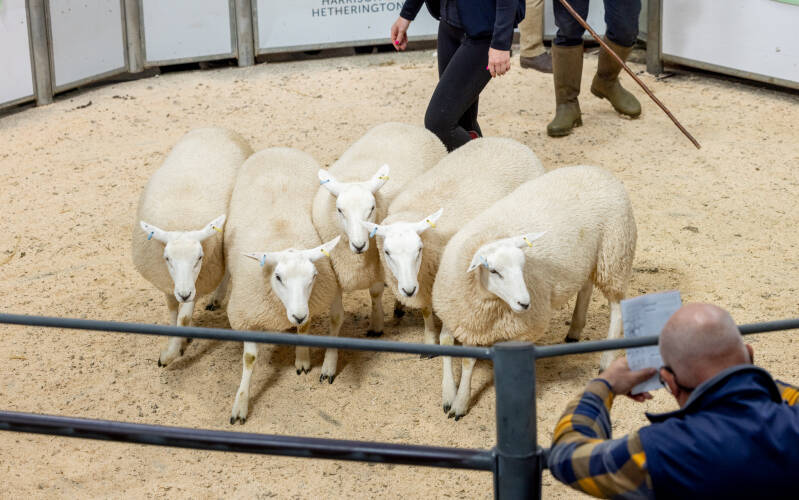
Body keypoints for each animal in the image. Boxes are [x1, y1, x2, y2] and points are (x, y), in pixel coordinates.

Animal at [132, 127, 253, 367]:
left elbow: (184, 316)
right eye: (167, 258)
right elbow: (172, 311)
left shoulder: (199, 278)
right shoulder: (167, 281)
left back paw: (216, 298)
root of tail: (217, 128)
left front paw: (172, 352)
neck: (182, 222)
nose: (185, 293)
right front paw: (176, 341)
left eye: (199, 258)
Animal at [225, 147, 344, 424]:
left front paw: (302, 358)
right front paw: (240, 403)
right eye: (278, 277)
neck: (283, 236)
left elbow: (306, 328)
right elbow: (249, 359)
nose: (297, 315)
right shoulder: (244, 319)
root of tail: (279, 148)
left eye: (313, 275)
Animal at [312, 122, 446, 337]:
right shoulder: (334, 268)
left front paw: (376, 325)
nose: (359, 245)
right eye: (340, 210)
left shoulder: (378, 262)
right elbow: (335, 315)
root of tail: (405, 125)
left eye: (372, 208)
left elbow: (375, 292)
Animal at [361, 138, 546, 349]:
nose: (408, 290)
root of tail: (509, 141)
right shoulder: (425, 282)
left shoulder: (446, 281)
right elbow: (426, 309)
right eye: (387, 252)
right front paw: (429, 339)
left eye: (419, 249)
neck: (413, 211)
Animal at [432, 165, 637, 419]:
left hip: (614, 255)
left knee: (617, 307)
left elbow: (472, 362)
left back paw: (606, 360)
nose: (525, 304)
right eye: (494, 271)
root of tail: (597, 170)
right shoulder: (459, 317)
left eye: (523, 266)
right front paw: (449, 395)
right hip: (589, 259)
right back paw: (575, 329)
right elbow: (449, 347)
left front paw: (462, 403)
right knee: (586, 286)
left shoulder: (516, 329)